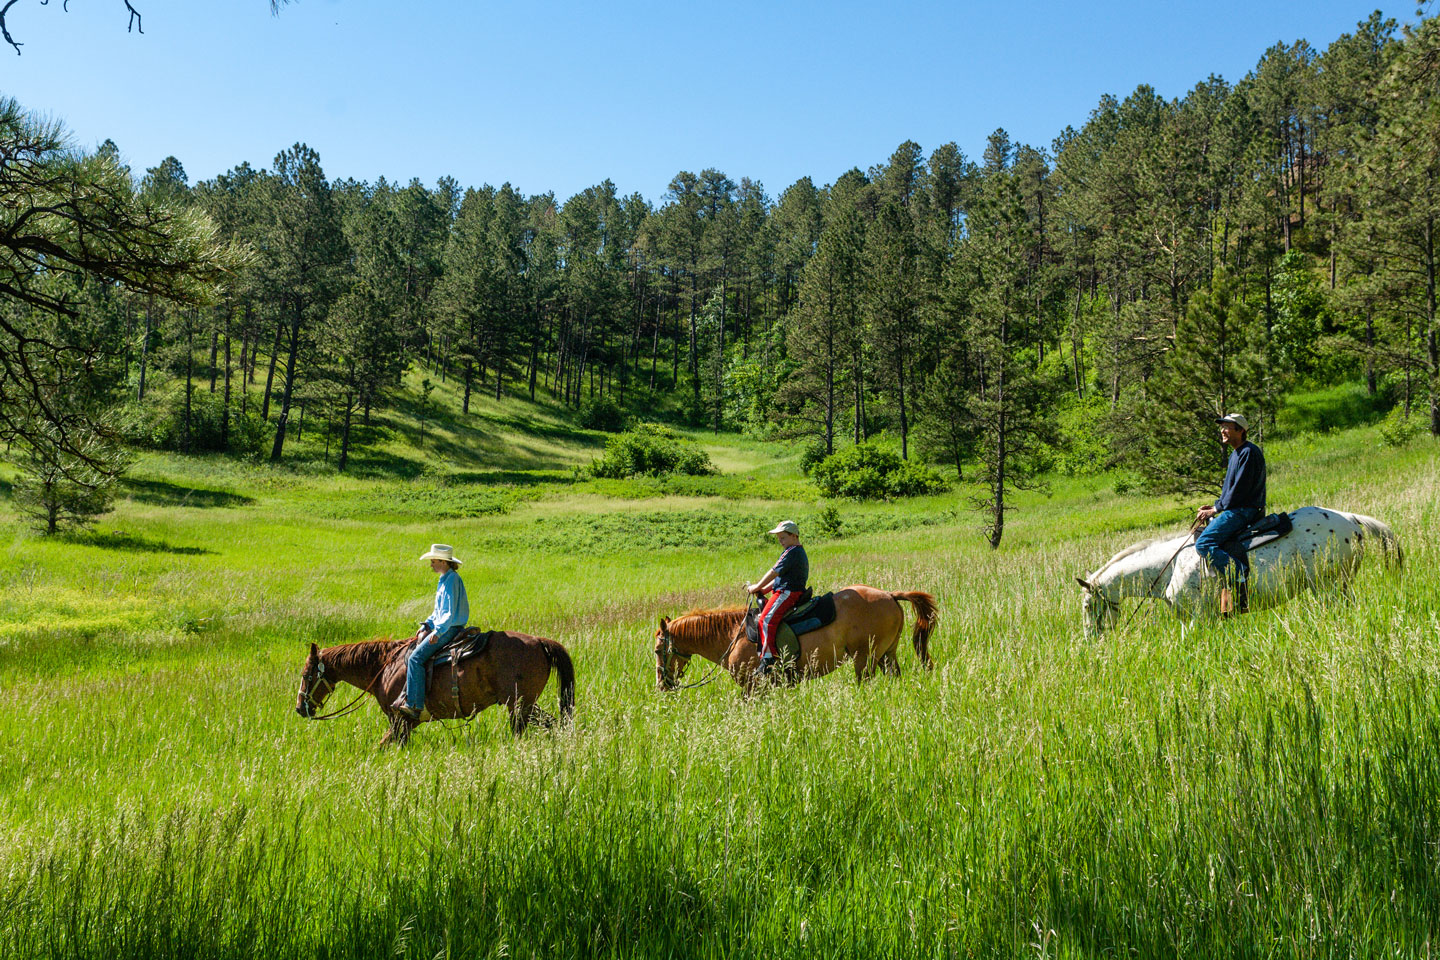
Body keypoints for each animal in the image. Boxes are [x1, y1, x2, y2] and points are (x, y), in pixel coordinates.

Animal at [292, 630, 573, 748]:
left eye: (306, 675)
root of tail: (539, 641)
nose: (299, 709)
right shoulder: (405, 725)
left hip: (519, 706)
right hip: (525, 706)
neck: (384, 668)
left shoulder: (400, 720)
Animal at [656, 581, 944, 693]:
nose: (661, 685)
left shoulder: (752, 687)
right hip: (887, 655)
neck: (732, 636)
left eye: (658, 651)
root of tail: (890, 595)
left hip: (865, 660)